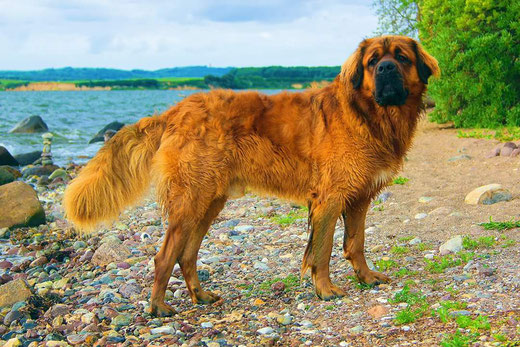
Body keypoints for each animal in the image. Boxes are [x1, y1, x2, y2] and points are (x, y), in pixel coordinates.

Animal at [64, 36, 438, 318]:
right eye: (373, 61)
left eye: (401, 58)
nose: (386, 68)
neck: (370, 114)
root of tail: (176, 109)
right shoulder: (330, 198)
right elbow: (322, 249)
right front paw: (325, 289)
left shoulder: (359, 196)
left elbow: (355, 243)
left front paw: (366, 277)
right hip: (191, 200)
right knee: (165, 255)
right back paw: (158, 307)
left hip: (209, 202)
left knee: (186, 254)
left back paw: (201, 296)